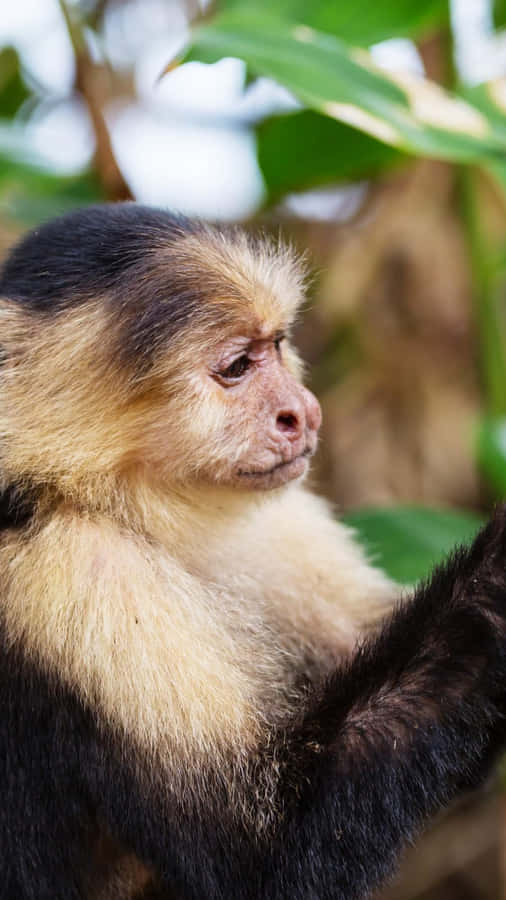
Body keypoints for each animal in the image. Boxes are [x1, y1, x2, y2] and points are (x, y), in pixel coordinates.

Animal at [0, 203, 505, 900]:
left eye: (277, 346)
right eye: (238, 366)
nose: (304, 411)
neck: (126, 504)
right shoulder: (71, 569)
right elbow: (259, 854)